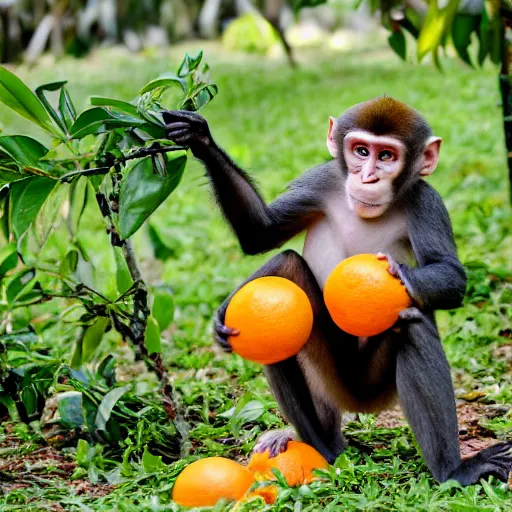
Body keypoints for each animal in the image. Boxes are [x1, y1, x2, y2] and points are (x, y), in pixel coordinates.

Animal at [163, 98, 512, 486]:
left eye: (387, 156)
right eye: (361, 151)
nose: (368, 177)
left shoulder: (426, 200)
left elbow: (452, 276)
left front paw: (397, 274)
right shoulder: (323, 179)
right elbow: (262, 233)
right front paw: (199, 138)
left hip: (372, 389)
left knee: (412, 325)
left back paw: (453, 470)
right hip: (329, 382)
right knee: (286, 271)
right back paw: (321, 446)